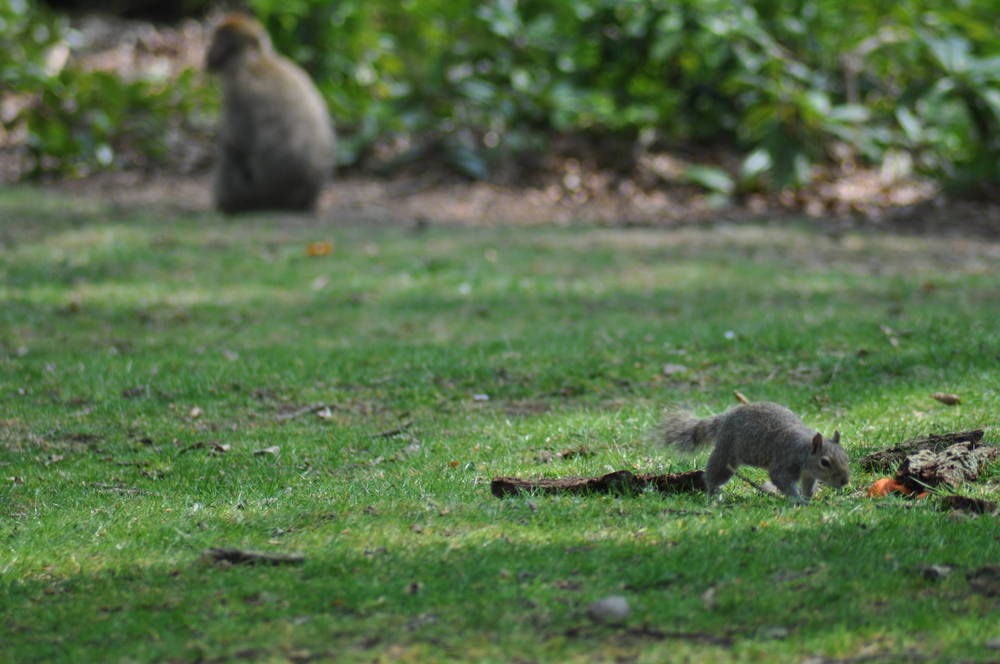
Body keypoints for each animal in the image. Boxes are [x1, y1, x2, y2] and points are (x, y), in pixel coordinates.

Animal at [205, 14, 334, 213]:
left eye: (218, 41)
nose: (208, 51)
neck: (255, 61)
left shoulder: (237, 92)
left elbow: (236, 144)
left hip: (254, 193)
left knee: (230, 155)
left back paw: (227, 204)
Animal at [656, 400, 852, 504]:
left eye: (846, 457)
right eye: (824, 462)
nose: (844, 481)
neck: (803, 449)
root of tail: (726, 418)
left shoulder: (808, 474)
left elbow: (808, 486)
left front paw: (808, 499)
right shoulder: (785, 461)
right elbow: (780, 479)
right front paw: (796, 499)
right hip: (726, 453)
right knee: (713, 474)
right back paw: (714, 494)